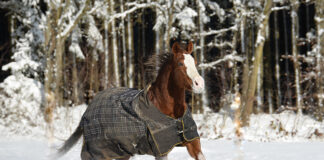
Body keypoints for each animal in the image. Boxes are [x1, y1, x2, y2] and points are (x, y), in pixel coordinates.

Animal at [56, 41, 205, 160]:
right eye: (180, 63)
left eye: (195, 62)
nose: (200, 84)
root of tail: (87, 110)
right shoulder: (161, 151)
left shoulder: (193, 143)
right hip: (97, 153)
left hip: (122, 152)